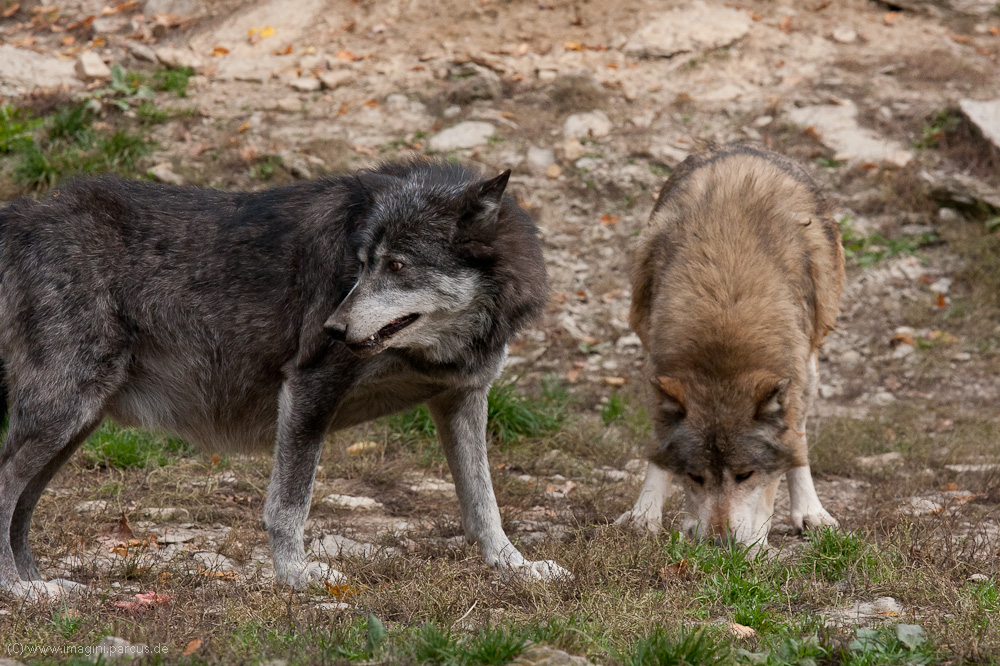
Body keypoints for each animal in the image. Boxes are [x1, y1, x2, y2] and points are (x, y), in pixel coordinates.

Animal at [0, 160, 568, 596]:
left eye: (398, 266)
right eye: (363, 263)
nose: (332, 328)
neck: (435, 349)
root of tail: (21, 214)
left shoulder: (462, 399)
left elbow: (483, 504)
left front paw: (516, 567)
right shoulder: (308, 389)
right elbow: (288, 506)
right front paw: (297, 577)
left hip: (73, 427)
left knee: (20, 505)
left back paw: (38, 585)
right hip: (63, 416)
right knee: (7, 488)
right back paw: (19, 591)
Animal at [616, 141, 844, 544]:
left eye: (745, 475)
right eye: (695, 476)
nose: (719, 542)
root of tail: (743, 146)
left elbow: (773, 482)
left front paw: (753, 545)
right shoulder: (655, 368)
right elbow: (659, 453)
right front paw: (646, 515)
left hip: (810, 368)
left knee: (798, 442)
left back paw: (811, 512)